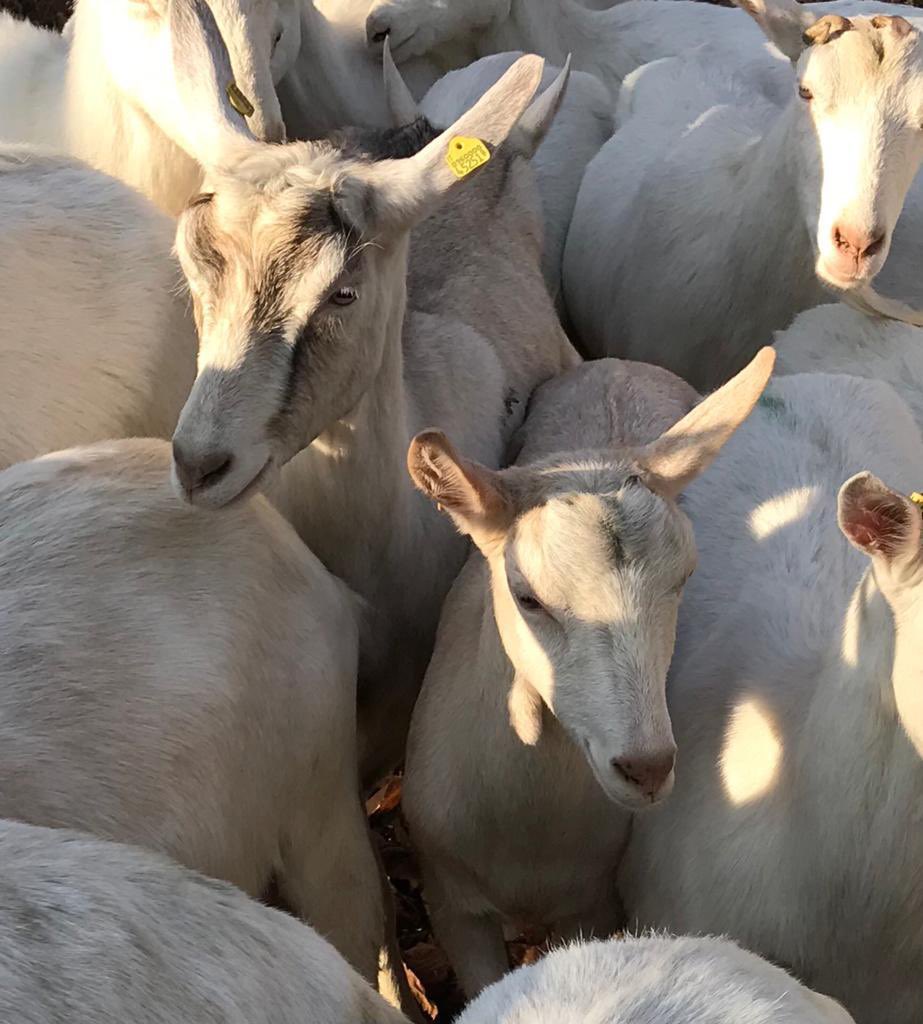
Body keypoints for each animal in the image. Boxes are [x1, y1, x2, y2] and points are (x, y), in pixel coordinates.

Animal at [401, 349, 773, 996]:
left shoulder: (592, 903)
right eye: (528, 597)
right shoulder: (452, 903)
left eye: (684, 578)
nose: (647, 768)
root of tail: (620, 365)